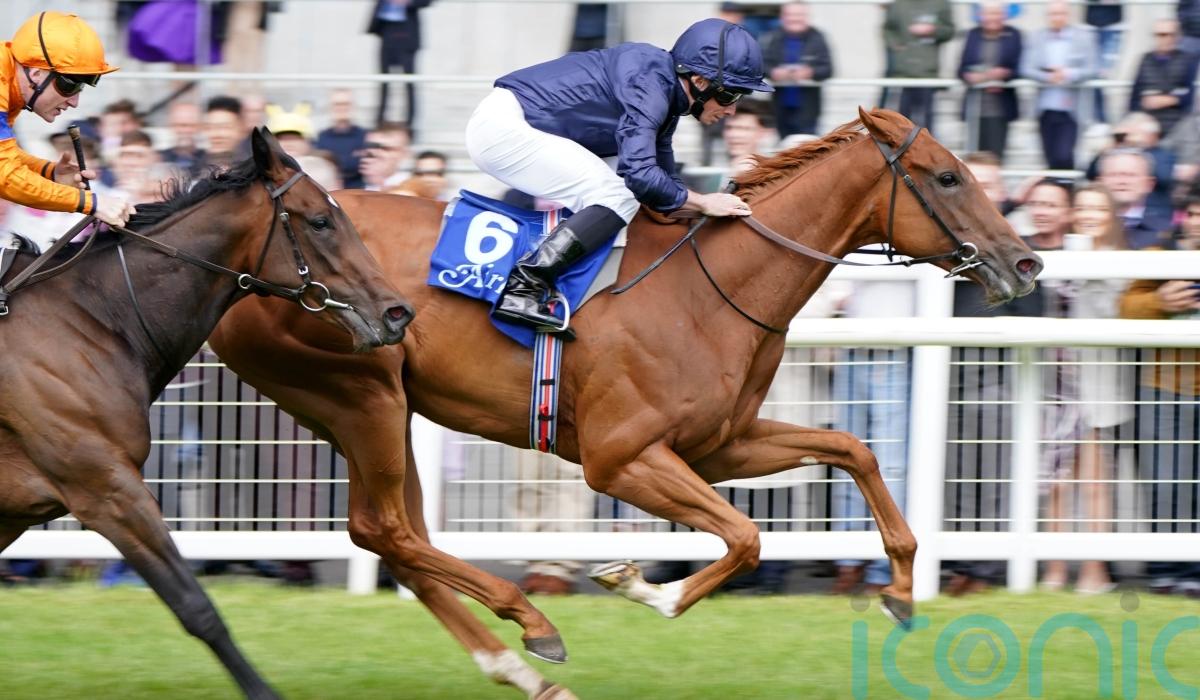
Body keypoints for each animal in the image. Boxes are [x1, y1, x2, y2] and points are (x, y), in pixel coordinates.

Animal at [0, 128, 413, 700]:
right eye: (320, 221)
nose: (397, 313)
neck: (93, 318)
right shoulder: (107, 489)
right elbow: (197, 607)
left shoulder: (20, 508)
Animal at [209, 109, 1042, 698]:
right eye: (946, 178)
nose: (1026, 261)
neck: (713, 284)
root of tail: (242, 269)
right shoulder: (619, 459)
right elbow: (745, 537)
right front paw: (645, 587)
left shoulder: (721, 443)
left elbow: (853, 449)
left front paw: (899, 587)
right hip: (361, 394)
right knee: (386, 530)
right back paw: (532, 621)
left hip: (378, 407)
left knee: (399, 540)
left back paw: (522, 667)